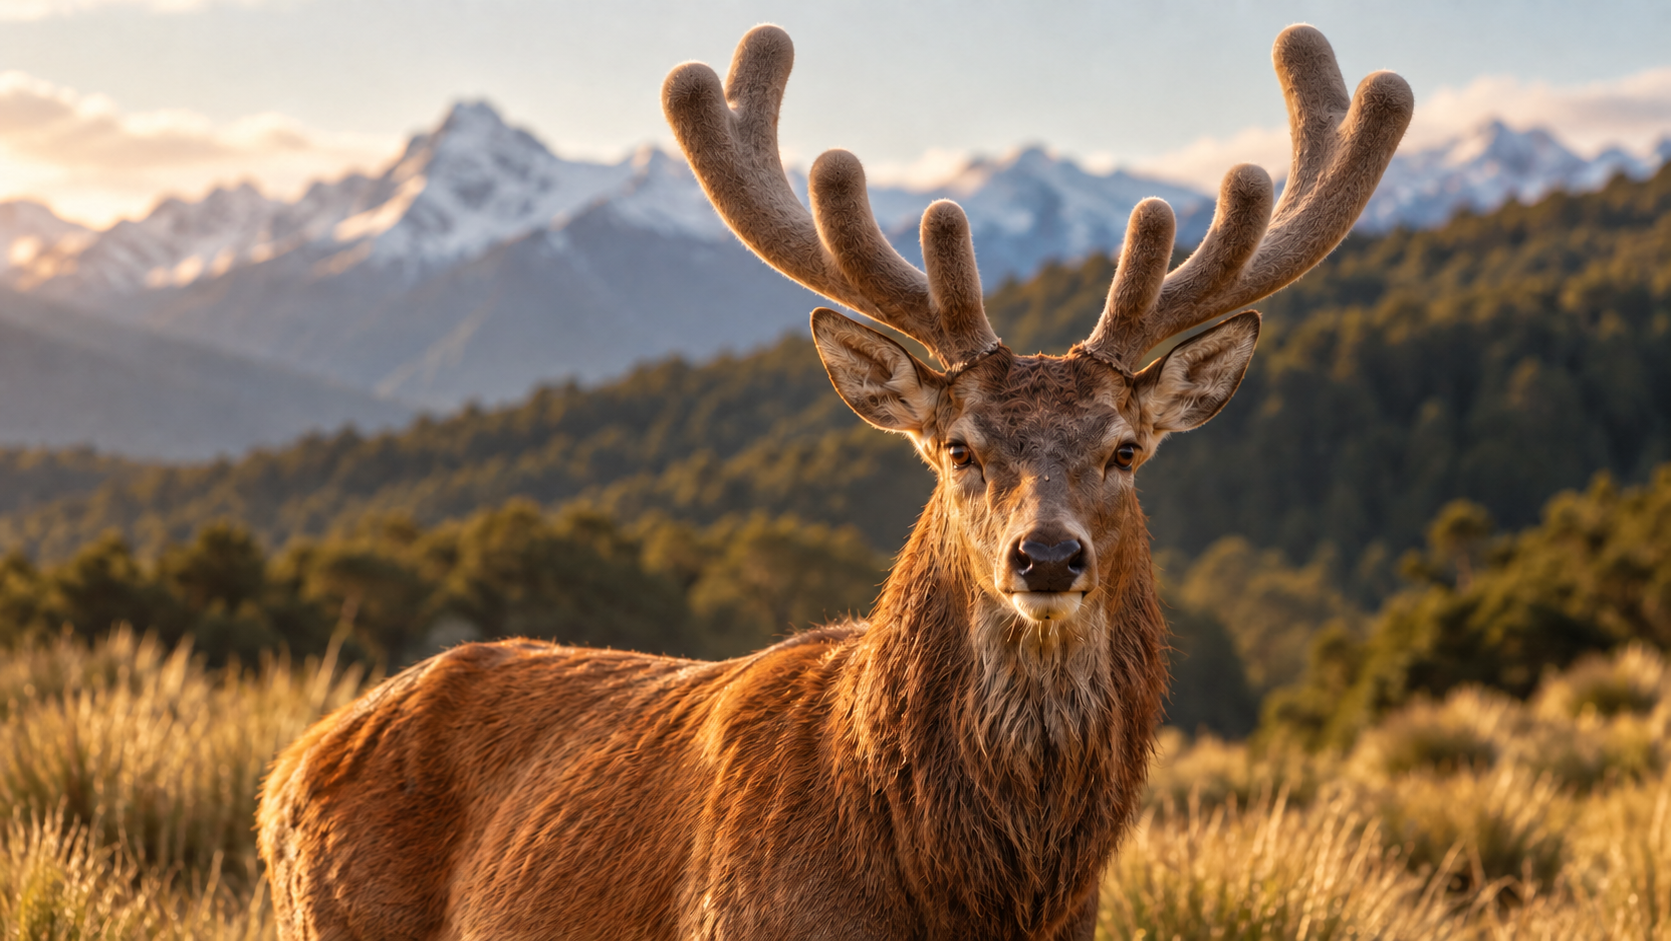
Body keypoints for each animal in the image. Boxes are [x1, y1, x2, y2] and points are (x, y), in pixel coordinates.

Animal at [257, 23, 1410, 941]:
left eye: (1126, 449)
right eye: (960, 448)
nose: (1045, 554)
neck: (969, 898)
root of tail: (284, 773)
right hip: (335, 915)